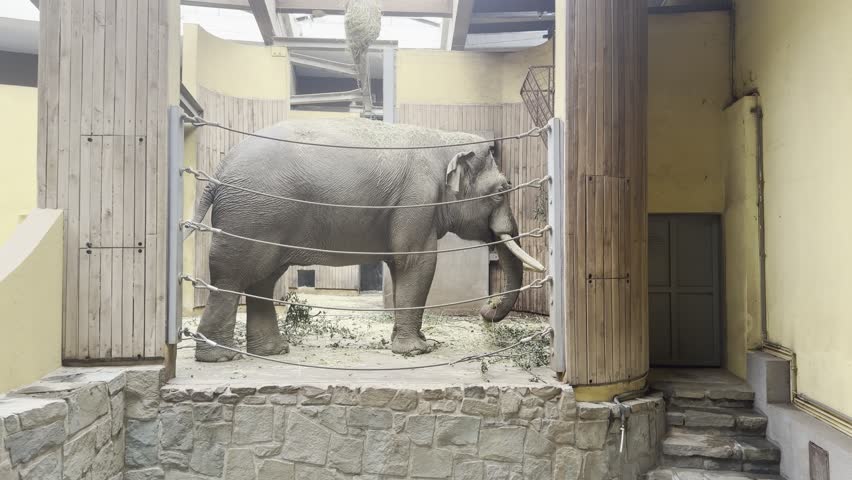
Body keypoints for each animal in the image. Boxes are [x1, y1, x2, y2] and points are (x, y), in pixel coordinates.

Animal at [187, 118, 544, 362]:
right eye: (502, 190)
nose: (487, 309)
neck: (444, 139)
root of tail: (217, 173)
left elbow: (402, 266)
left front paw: (411, 341)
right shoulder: (417, 199)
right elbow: (418, 261)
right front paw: (418, 350)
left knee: (262, 280)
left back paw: (273, 351)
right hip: (251, 217)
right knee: (233, 277)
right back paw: (220, 357)